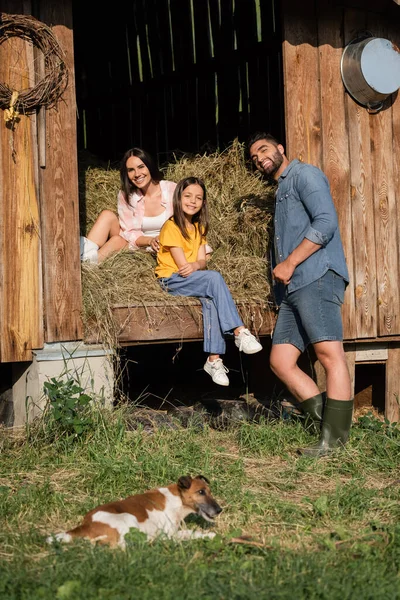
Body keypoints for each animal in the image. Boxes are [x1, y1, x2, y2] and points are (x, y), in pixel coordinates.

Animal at [47, 474, 222, 548]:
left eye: (210, 491)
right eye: (201, 492)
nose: (220, 510)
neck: (177, 499)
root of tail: (85, 525)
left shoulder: (174, 531)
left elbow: (192, 533)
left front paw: (210, 536)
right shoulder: (169, 534)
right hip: (127, 519)